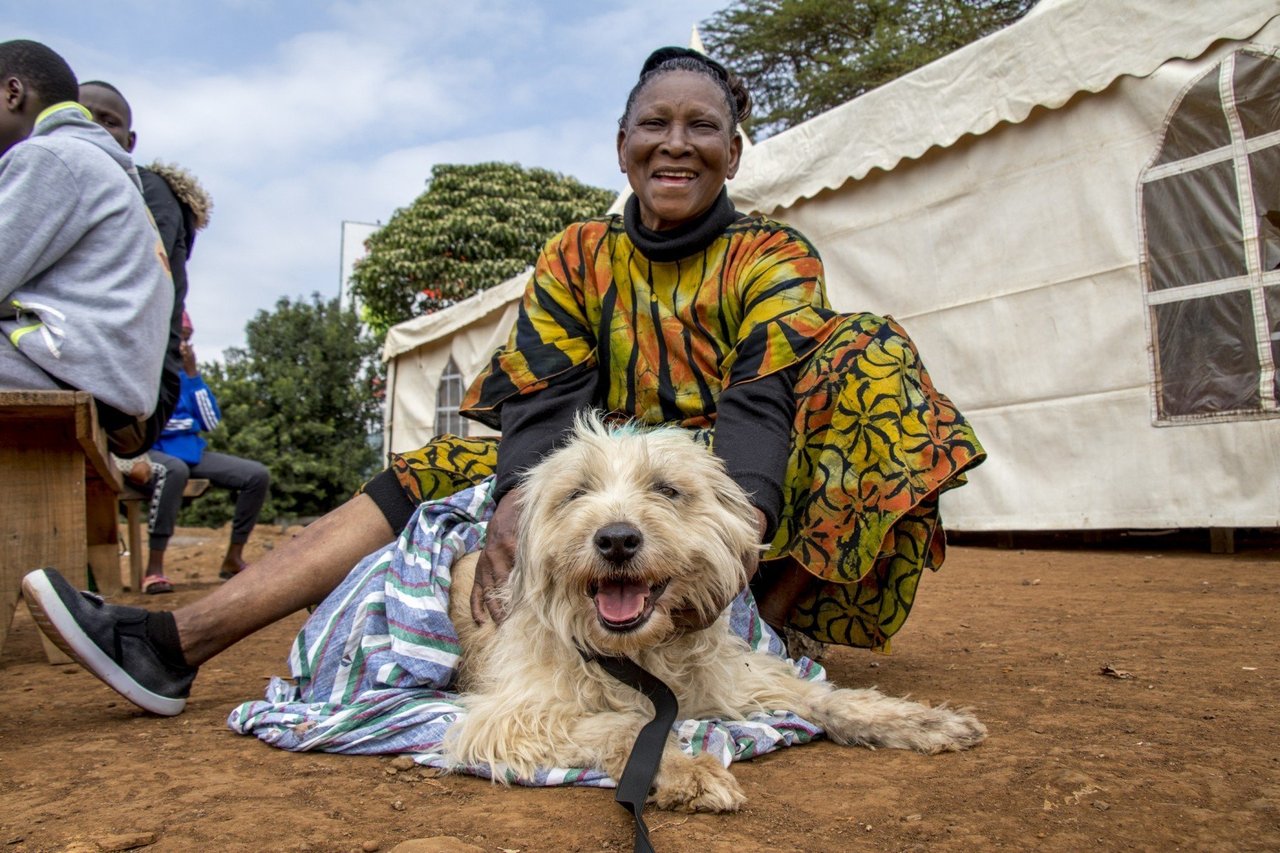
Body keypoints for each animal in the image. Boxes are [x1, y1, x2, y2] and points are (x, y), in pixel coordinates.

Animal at [445, 414, 983, 809]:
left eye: (666, 489)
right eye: (576, 493)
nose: (616, 539)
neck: (639, 654)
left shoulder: (735, 678)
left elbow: (822, 696)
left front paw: (923, 722)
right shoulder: (508, 717)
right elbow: (626, 727)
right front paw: (686, 771)